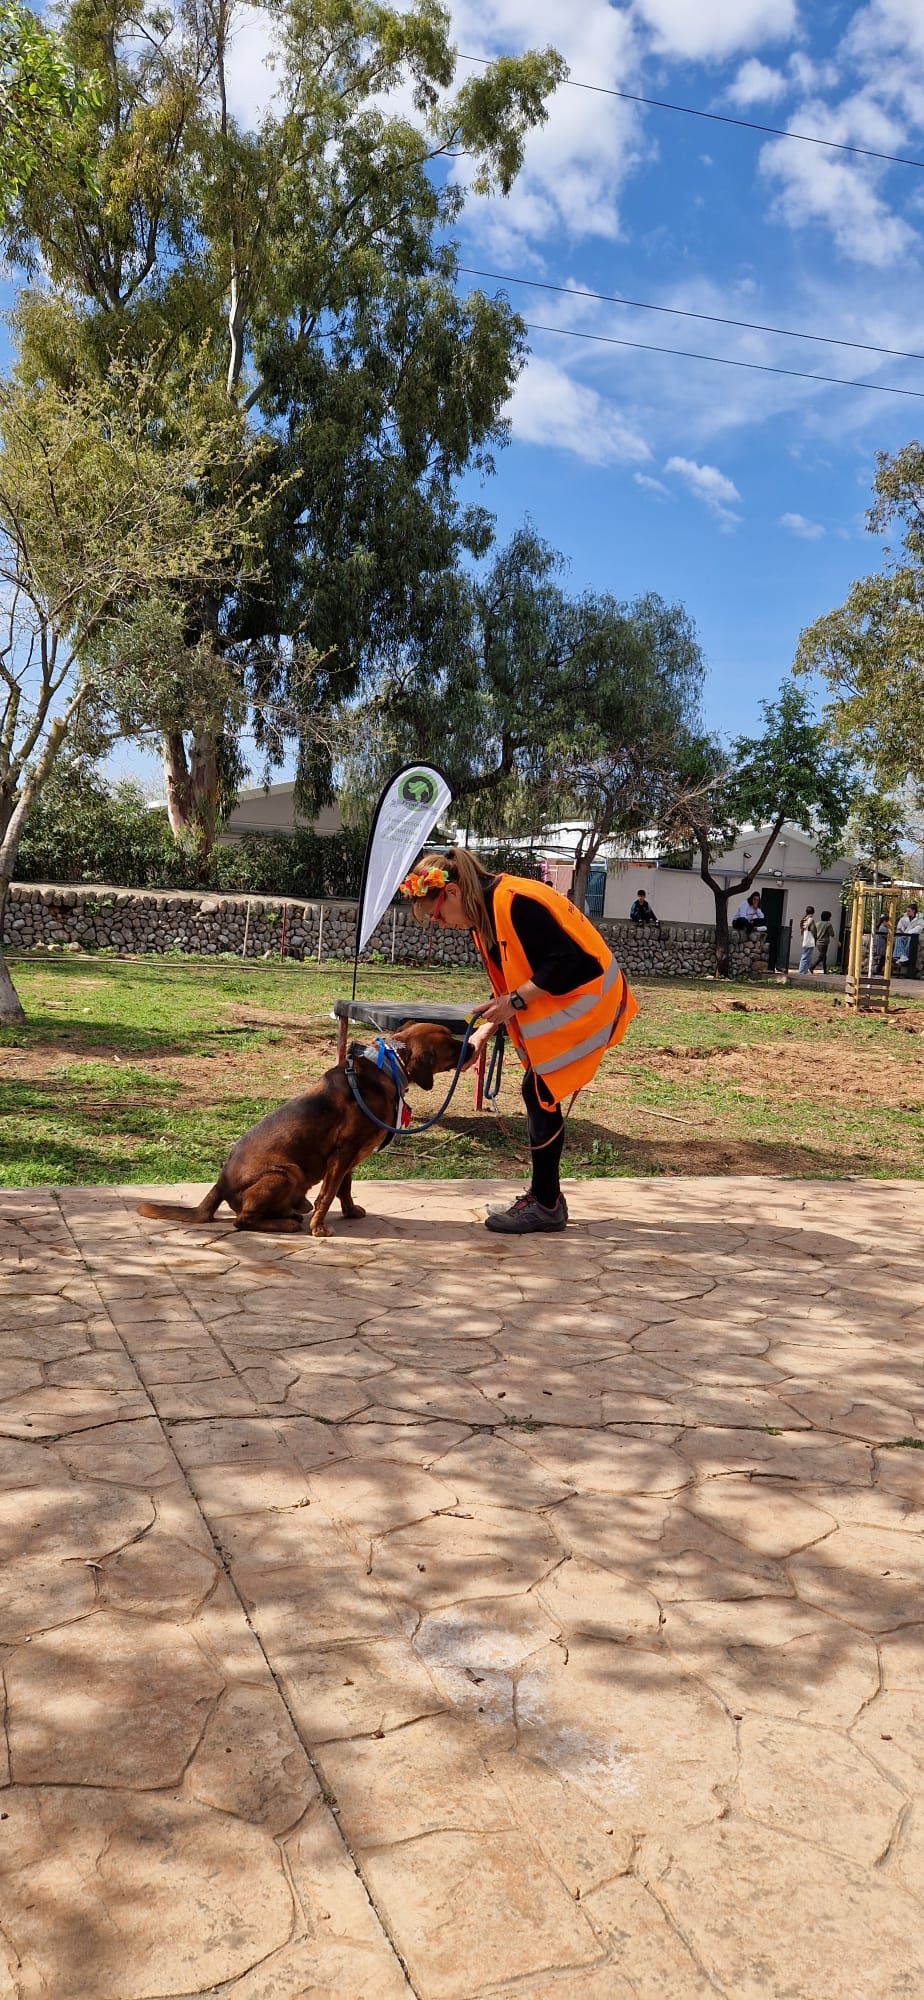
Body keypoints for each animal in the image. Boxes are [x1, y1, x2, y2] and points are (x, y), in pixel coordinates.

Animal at [135, 1024, 462, 1240]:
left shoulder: (348, 1157)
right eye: (451, 1043)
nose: (470, 1045)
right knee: (243, 1220)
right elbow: (328, 1194)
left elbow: (344, 1189)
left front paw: (349, 1211)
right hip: (286, 1172)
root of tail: (219, 1184)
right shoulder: (342, 1154)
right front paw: (319, 1227)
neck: (388, 1064)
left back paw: (293, 1211)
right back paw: (288, 1223)